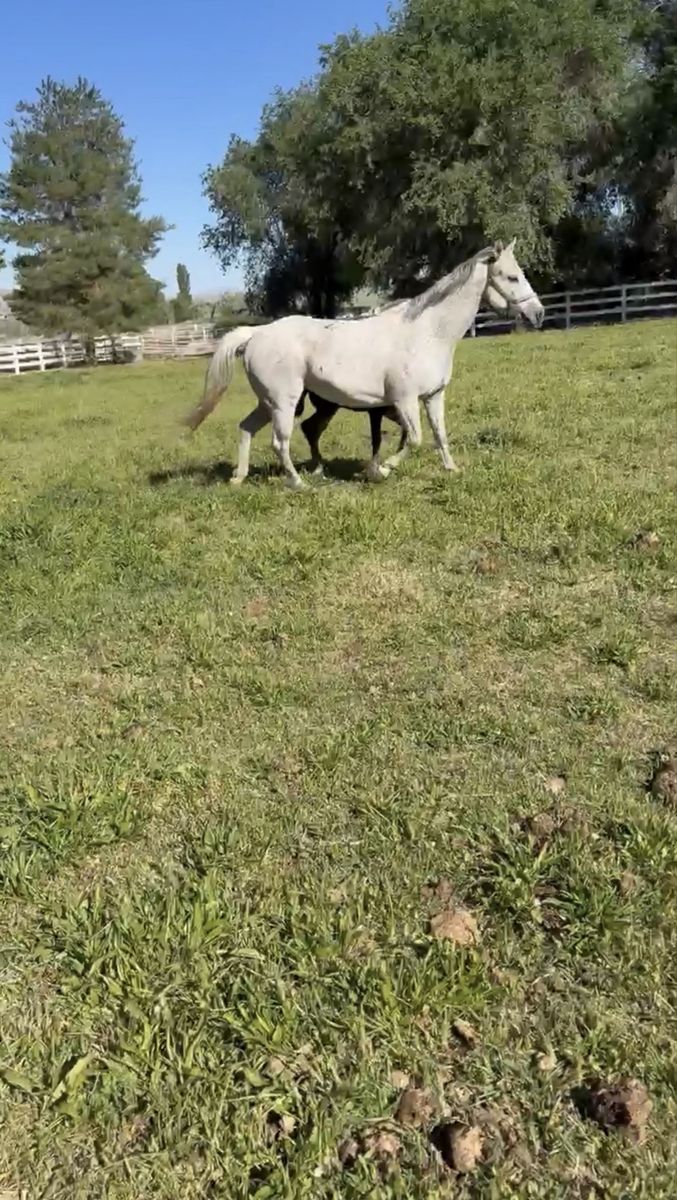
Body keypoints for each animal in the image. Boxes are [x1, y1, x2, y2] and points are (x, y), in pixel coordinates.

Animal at [185, 240, 544, 488]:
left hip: (268, 402)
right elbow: (414, 440)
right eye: (512, 277)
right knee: (279, 442)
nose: (538, 313)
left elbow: (440, 435)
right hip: (284, 403)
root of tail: (256, 334)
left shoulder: (433, 397)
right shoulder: (404, 400)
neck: (427, 332)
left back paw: (239, 478)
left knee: (246, 428)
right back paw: (300, 483)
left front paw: (451, 469)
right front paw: (381, 470)